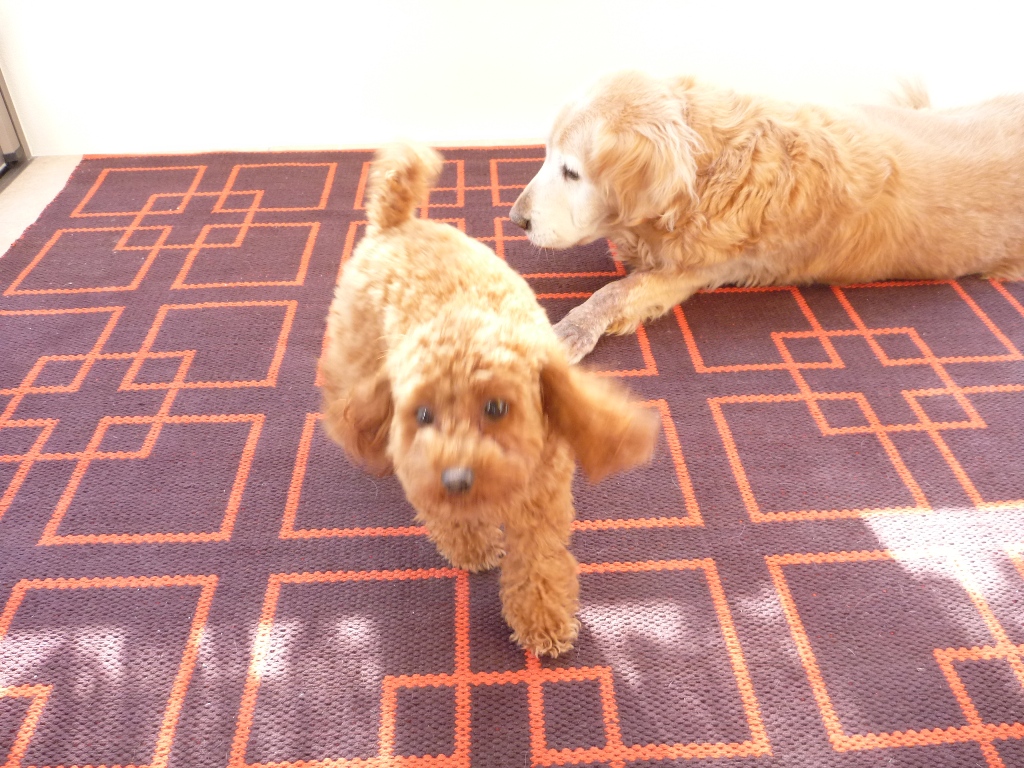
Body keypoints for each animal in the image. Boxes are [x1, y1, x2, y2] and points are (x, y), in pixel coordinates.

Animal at [319, 142, 658, 656]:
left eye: (496, 408)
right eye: (423, 414)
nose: (457, 479)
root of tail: (397, 222)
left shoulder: (541, 502)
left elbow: (538, 563)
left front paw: (542, 621)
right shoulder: (427, 470)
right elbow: (448, 515)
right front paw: (472, 546)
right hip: (356, 341)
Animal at [509, 71, 1024, 362]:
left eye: (571, 171)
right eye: (545, 154)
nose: (516, 219)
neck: (709, 164)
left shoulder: (692, 270)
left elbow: (614, 293)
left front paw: (569, 330)